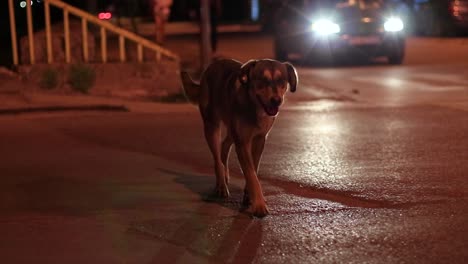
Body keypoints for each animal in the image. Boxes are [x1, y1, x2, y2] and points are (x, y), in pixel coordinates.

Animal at [181, 58, 298, 218]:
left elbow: (254, 168)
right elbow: (251, 174)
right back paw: (221, 184)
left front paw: (249, 195)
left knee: (224, 146)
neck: (254, 106)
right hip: (212, 127)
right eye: (262, 80)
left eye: (282, 81)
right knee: (217, 158)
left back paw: (225, 174)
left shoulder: (259, 140)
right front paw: (259, 205)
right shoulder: (242, 142)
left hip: (231, 131)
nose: (276, 100)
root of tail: (212, 65)